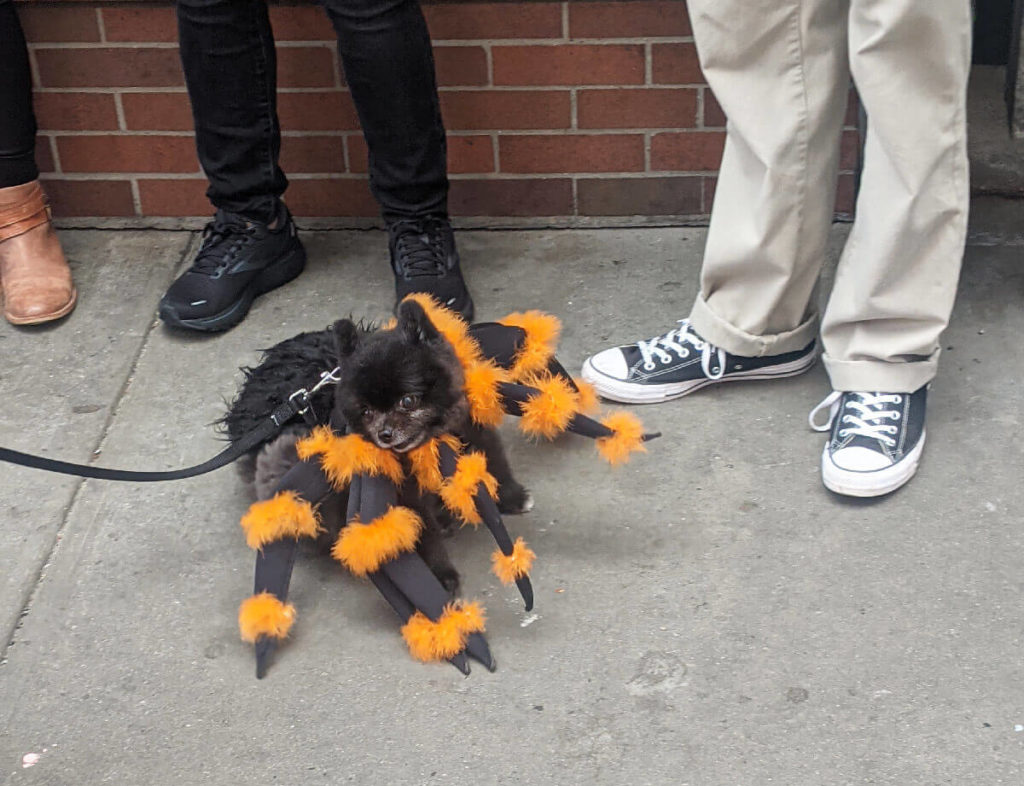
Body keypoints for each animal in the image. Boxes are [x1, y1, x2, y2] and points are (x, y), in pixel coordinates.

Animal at [223, 300, 528, 597]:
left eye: (408, 401)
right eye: (366, 411)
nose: (384, 434)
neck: (431, 438)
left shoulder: (470, 424)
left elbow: (495, 460)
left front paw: (512, 497)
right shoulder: (403, 494)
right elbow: (422, 536)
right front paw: (439, 578)